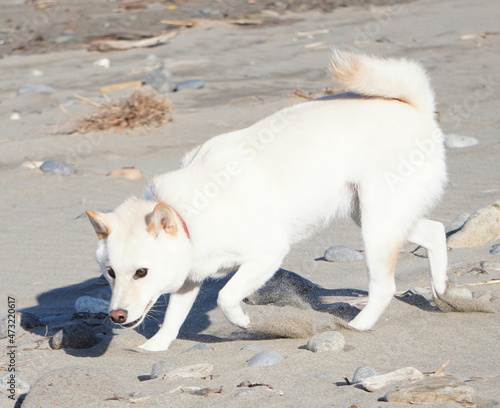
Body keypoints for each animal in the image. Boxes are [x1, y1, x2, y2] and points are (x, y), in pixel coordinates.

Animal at [87, 50, 450, 350]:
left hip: (377, 227)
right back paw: (442, 292)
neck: (191, 215)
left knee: (385, 285)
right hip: (373, 216)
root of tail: (413, 107)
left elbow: (225, 296)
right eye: (110, 273)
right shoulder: (190, 277)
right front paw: (156, 347)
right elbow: (174, 315)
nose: (117, 316)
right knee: (435, 231)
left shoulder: (267, 254)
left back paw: (359, 325)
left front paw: (243, 321)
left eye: (141, 272)